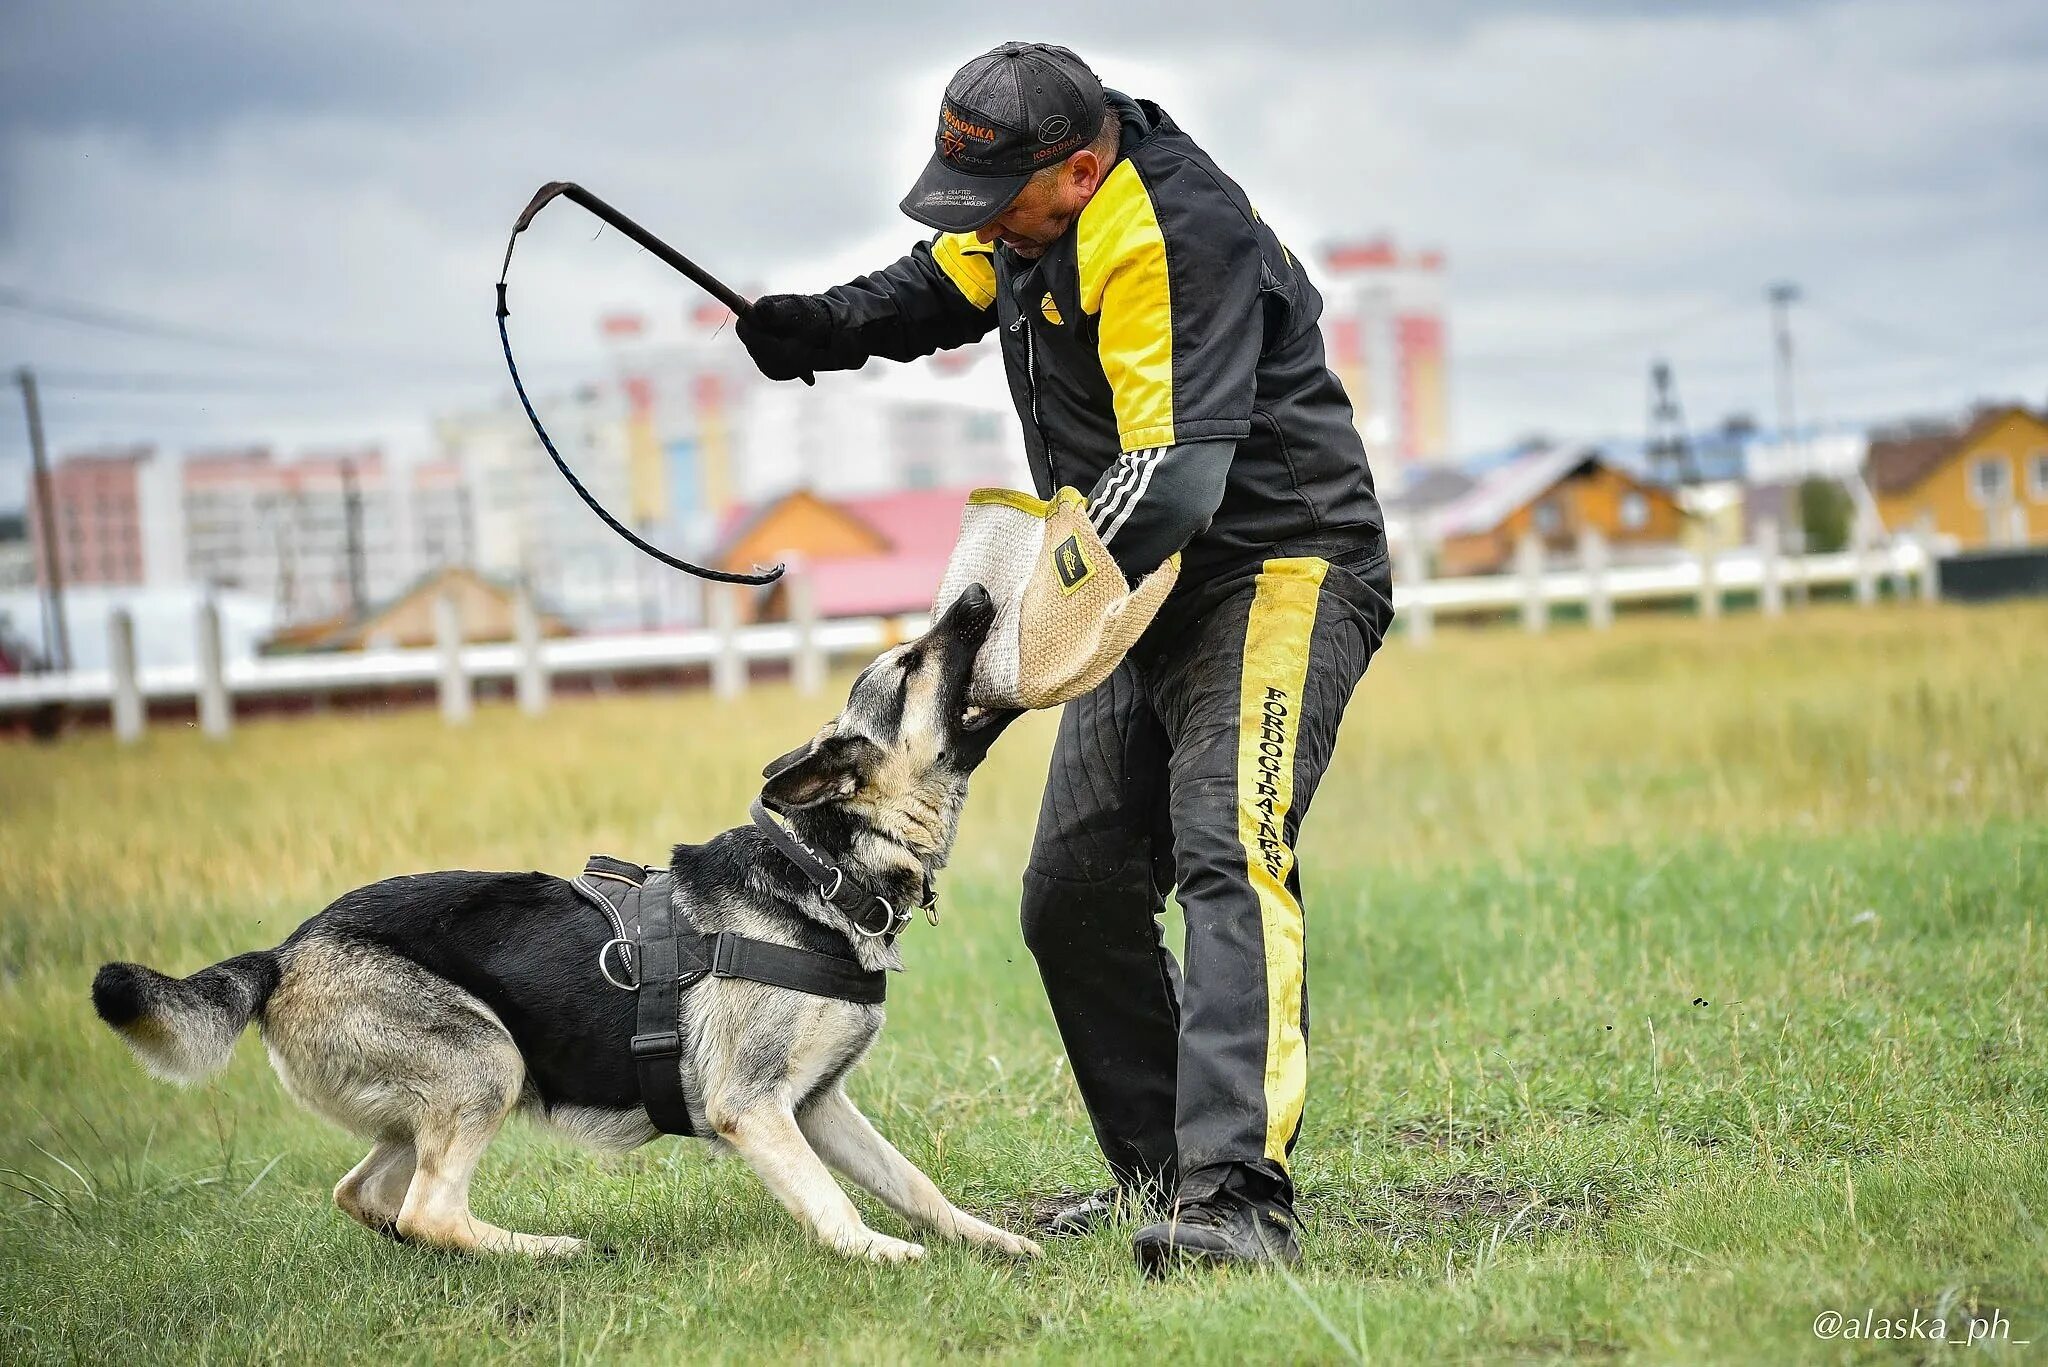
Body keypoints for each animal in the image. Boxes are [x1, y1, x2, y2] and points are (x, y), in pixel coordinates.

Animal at [92, 582, 1040, 1270]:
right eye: (913, 664)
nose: (978, 591)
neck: (819, 868)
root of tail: (282, 953)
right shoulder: (756, 1109)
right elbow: (836, 1201)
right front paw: (876, 1252)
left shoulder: (817, 1106)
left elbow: (913, 1184)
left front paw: (988, 1239)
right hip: (488, 1060)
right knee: (431, 1209)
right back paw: (546, 1250)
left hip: (427, 1100)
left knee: (369, 1196)